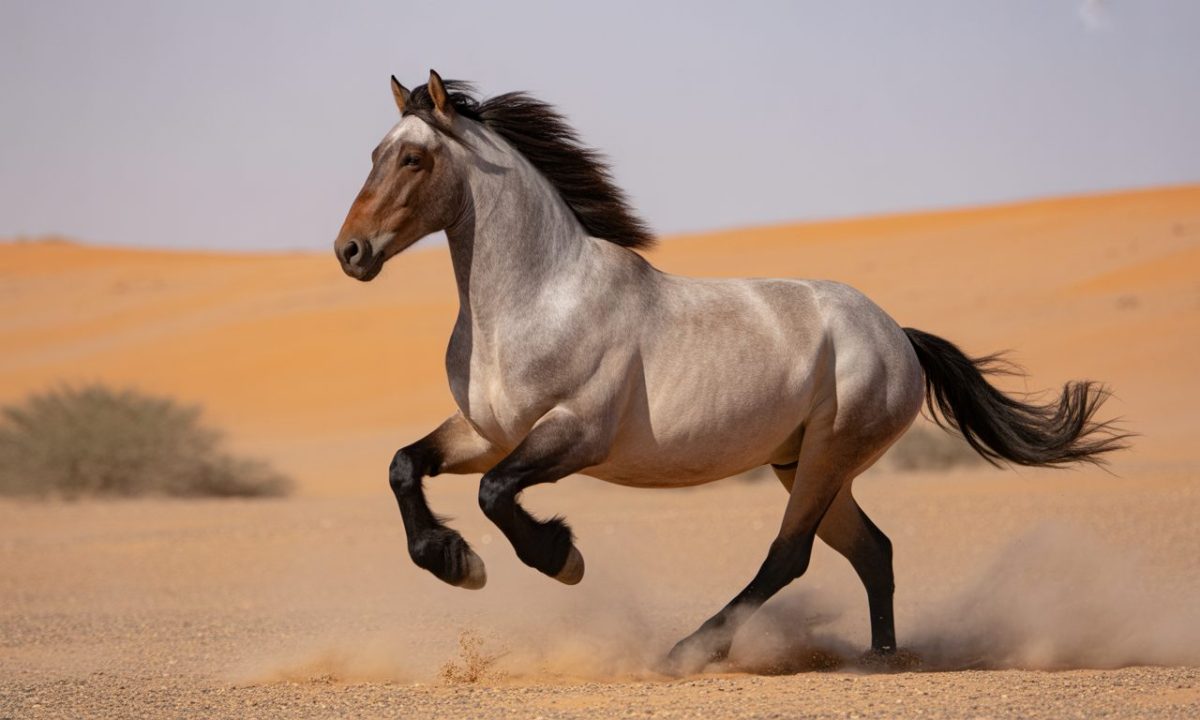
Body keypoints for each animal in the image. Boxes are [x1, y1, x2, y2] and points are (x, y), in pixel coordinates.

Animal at [333, 70, 1126, 674]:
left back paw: (688, 652)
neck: (537, 298)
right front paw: (452, 560)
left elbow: (497, 495)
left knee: (790, 556)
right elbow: (405, 465)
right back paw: (880, 660)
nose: (350, 251)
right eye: (373, 152)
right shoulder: (486, 432)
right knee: (872, 551)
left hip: (828, 455)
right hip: (803, 462)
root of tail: (897, 334)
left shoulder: (574, 435)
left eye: (412, 160)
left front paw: (560, 557)